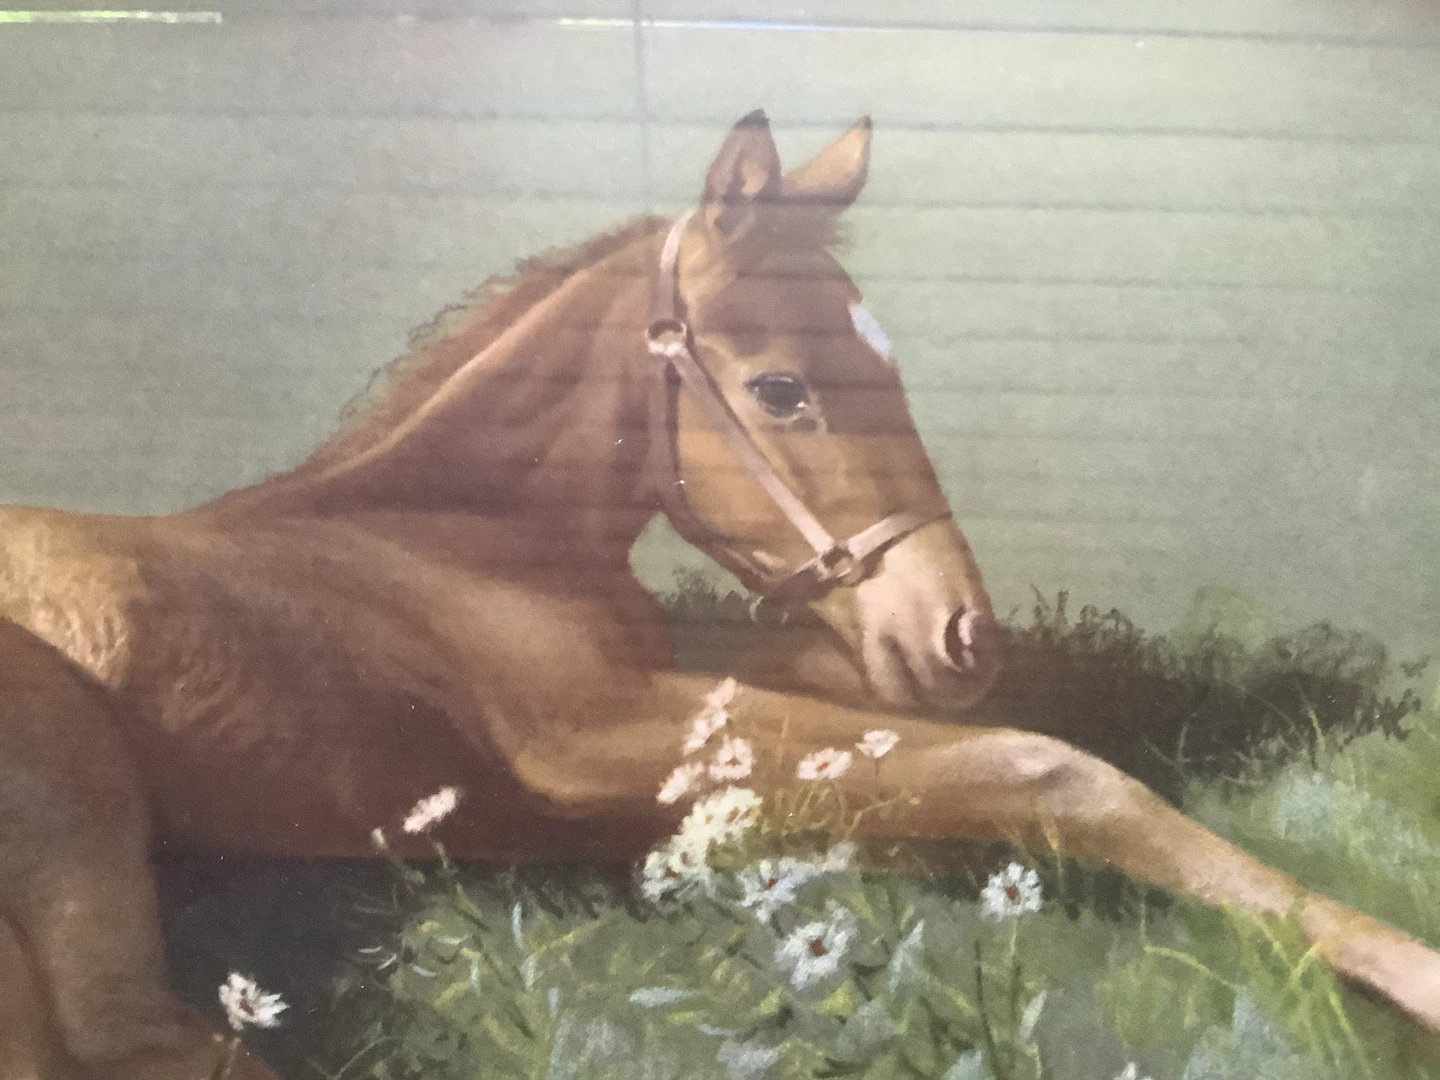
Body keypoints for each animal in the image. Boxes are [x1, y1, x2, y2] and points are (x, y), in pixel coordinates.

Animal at [1, 110, 1437, 1079]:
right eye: (781, 389)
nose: (960, 634)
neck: (451, 545)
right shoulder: (588, 741)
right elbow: (1045, 765)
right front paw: (1401, 964)